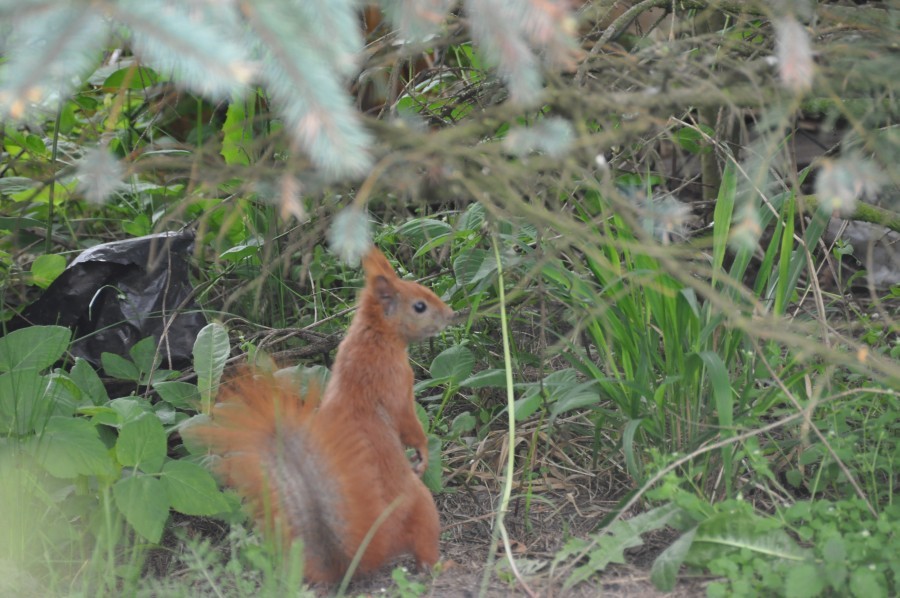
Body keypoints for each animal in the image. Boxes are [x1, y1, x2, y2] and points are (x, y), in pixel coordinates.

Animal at [192, 247, 454, 584]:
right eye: (419, 306)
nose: (451, 315)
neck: (375, 337)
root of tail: (356, 557)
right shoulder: (397, 386)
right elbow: (409, 424)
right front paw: (422, 452)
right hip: (422, 509)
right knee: (424, 550)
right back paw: (441, 565)